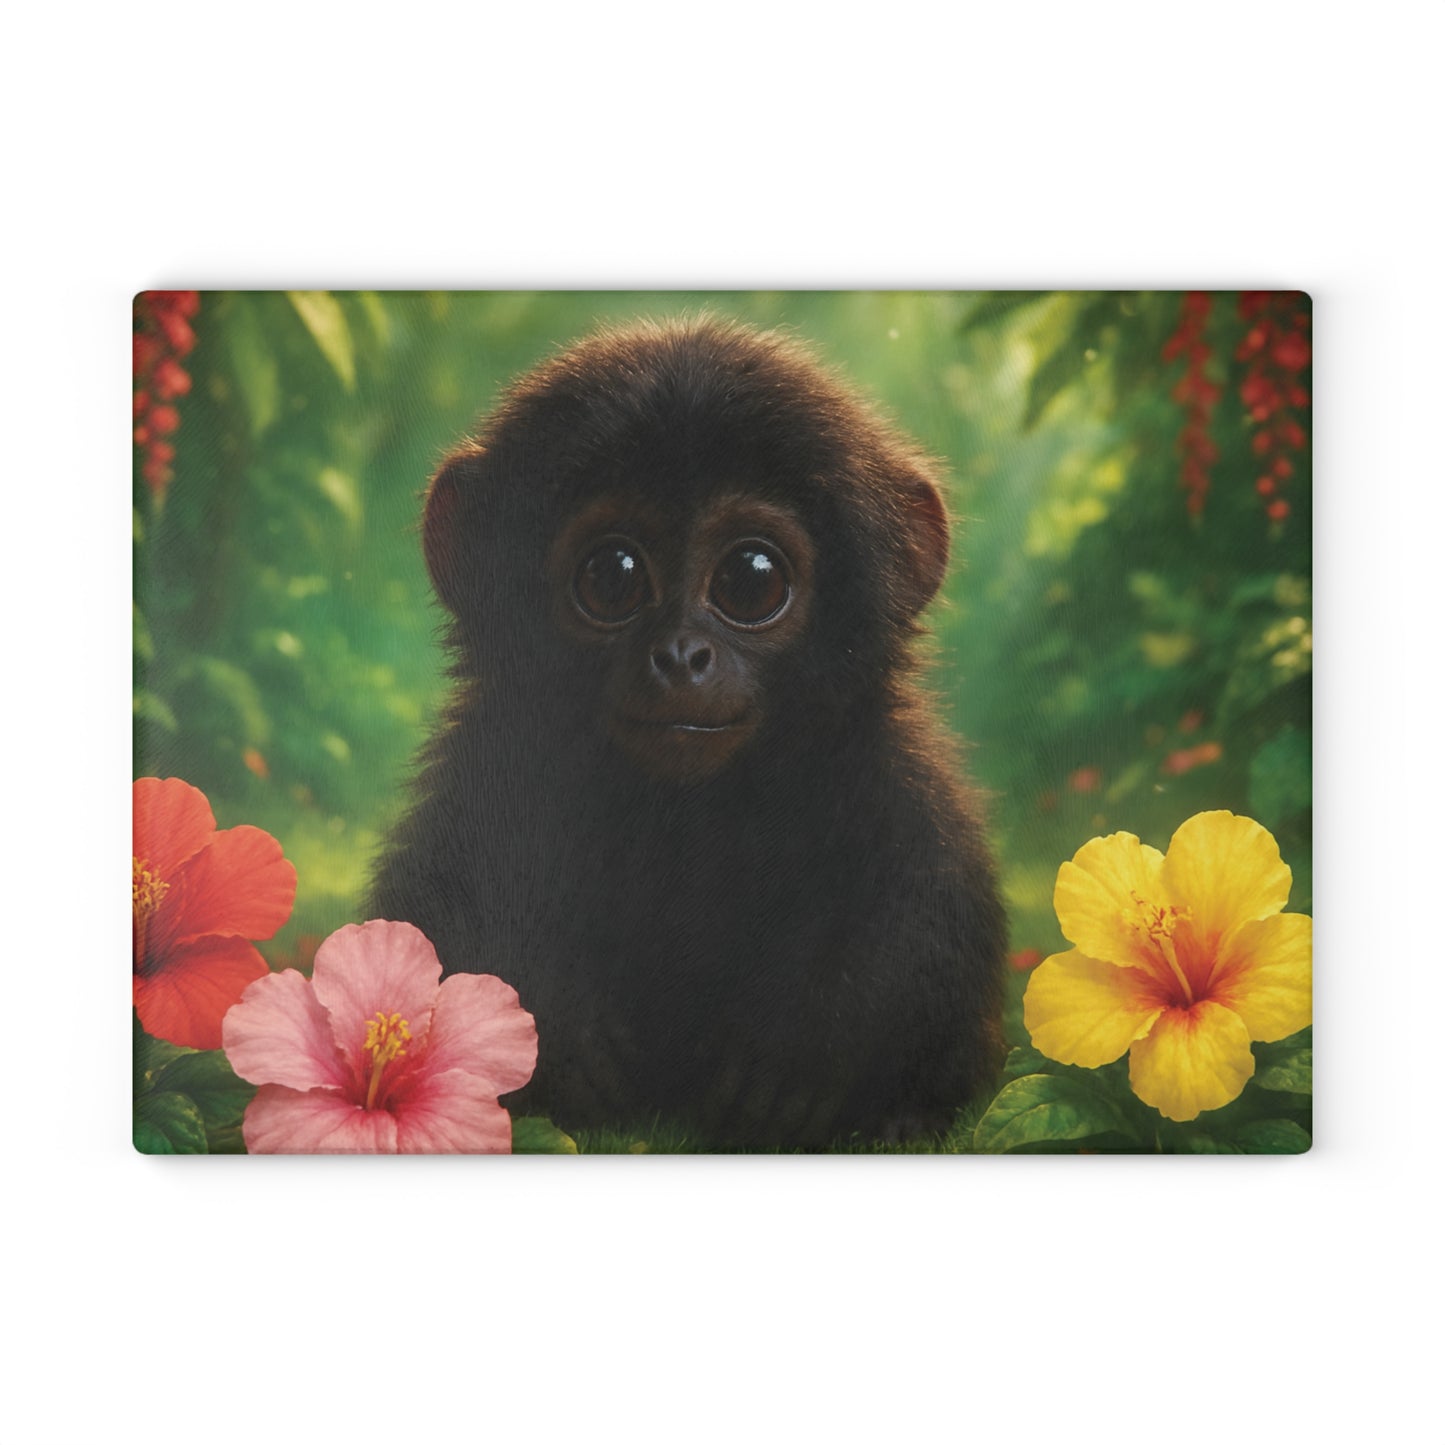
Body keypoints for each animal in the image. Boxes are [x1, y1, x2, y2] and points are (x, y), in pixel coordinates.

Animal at [368, 315, 1006, 1149]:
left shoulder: (898, 781)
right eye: (611, 574)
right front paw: (559, 1037)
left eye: (751, 578)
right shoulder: (481, 774)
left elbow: (925, 911)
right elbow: (438, 915)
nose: (679, 654)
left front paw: (799, 1057)